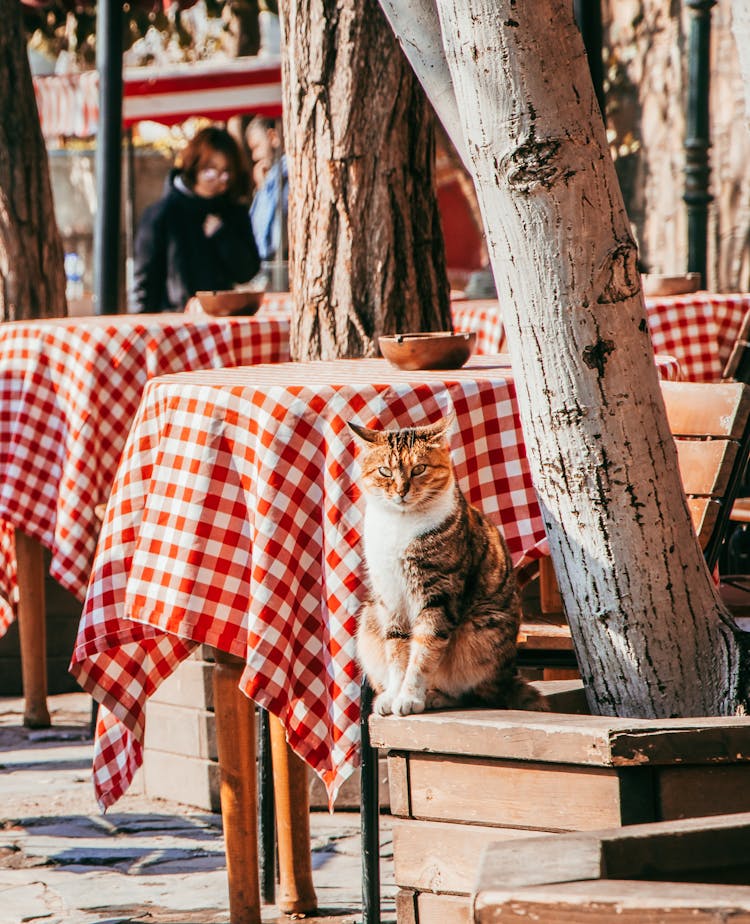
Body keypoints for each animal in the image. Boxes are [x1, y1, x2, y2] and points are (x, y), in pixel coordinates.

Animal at [350, 416, 548, 720]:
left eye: (419, 468)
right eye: (384, 471)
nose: (401, 491)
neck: (400, 525)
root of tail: (507, 677)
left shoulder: (438, 593)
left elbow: (423, 650)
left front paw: (408, 697)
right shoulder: (389, 598)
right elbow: (396, 649)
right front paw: (394, 694)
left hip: (481, 629)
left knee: (474, 693)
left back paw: (435, 697)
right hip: (369, 619)